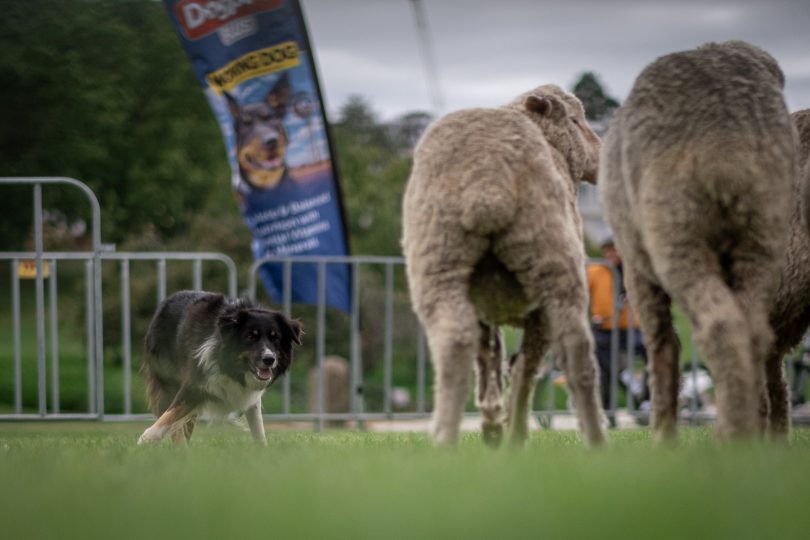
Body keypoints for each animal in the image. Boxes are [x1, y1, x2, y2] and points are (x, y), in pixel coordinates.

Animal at [400, 85, 604, 448]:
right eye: (576, 120)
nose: (601, 155)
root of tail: (487, 178)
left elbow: (493, 357)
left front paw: (494, 422)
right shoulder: (523, 313)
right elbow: (513, 363)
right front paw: (505, 428)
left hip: (439, 263)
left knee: (455, 342)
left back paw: (445, 436)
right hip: (552, 264)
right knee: (573, 348)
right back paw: (590, 439)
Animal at [596, 41, 792, 438]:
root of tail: (727, 144)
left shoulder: (636, 268)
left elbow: (662, 345)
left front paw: (662, 434)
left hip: (676, 232)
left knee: (718, 325)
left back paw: (730, 436)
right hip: (762, 233)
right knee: (752, 331)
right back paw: (745, 430)